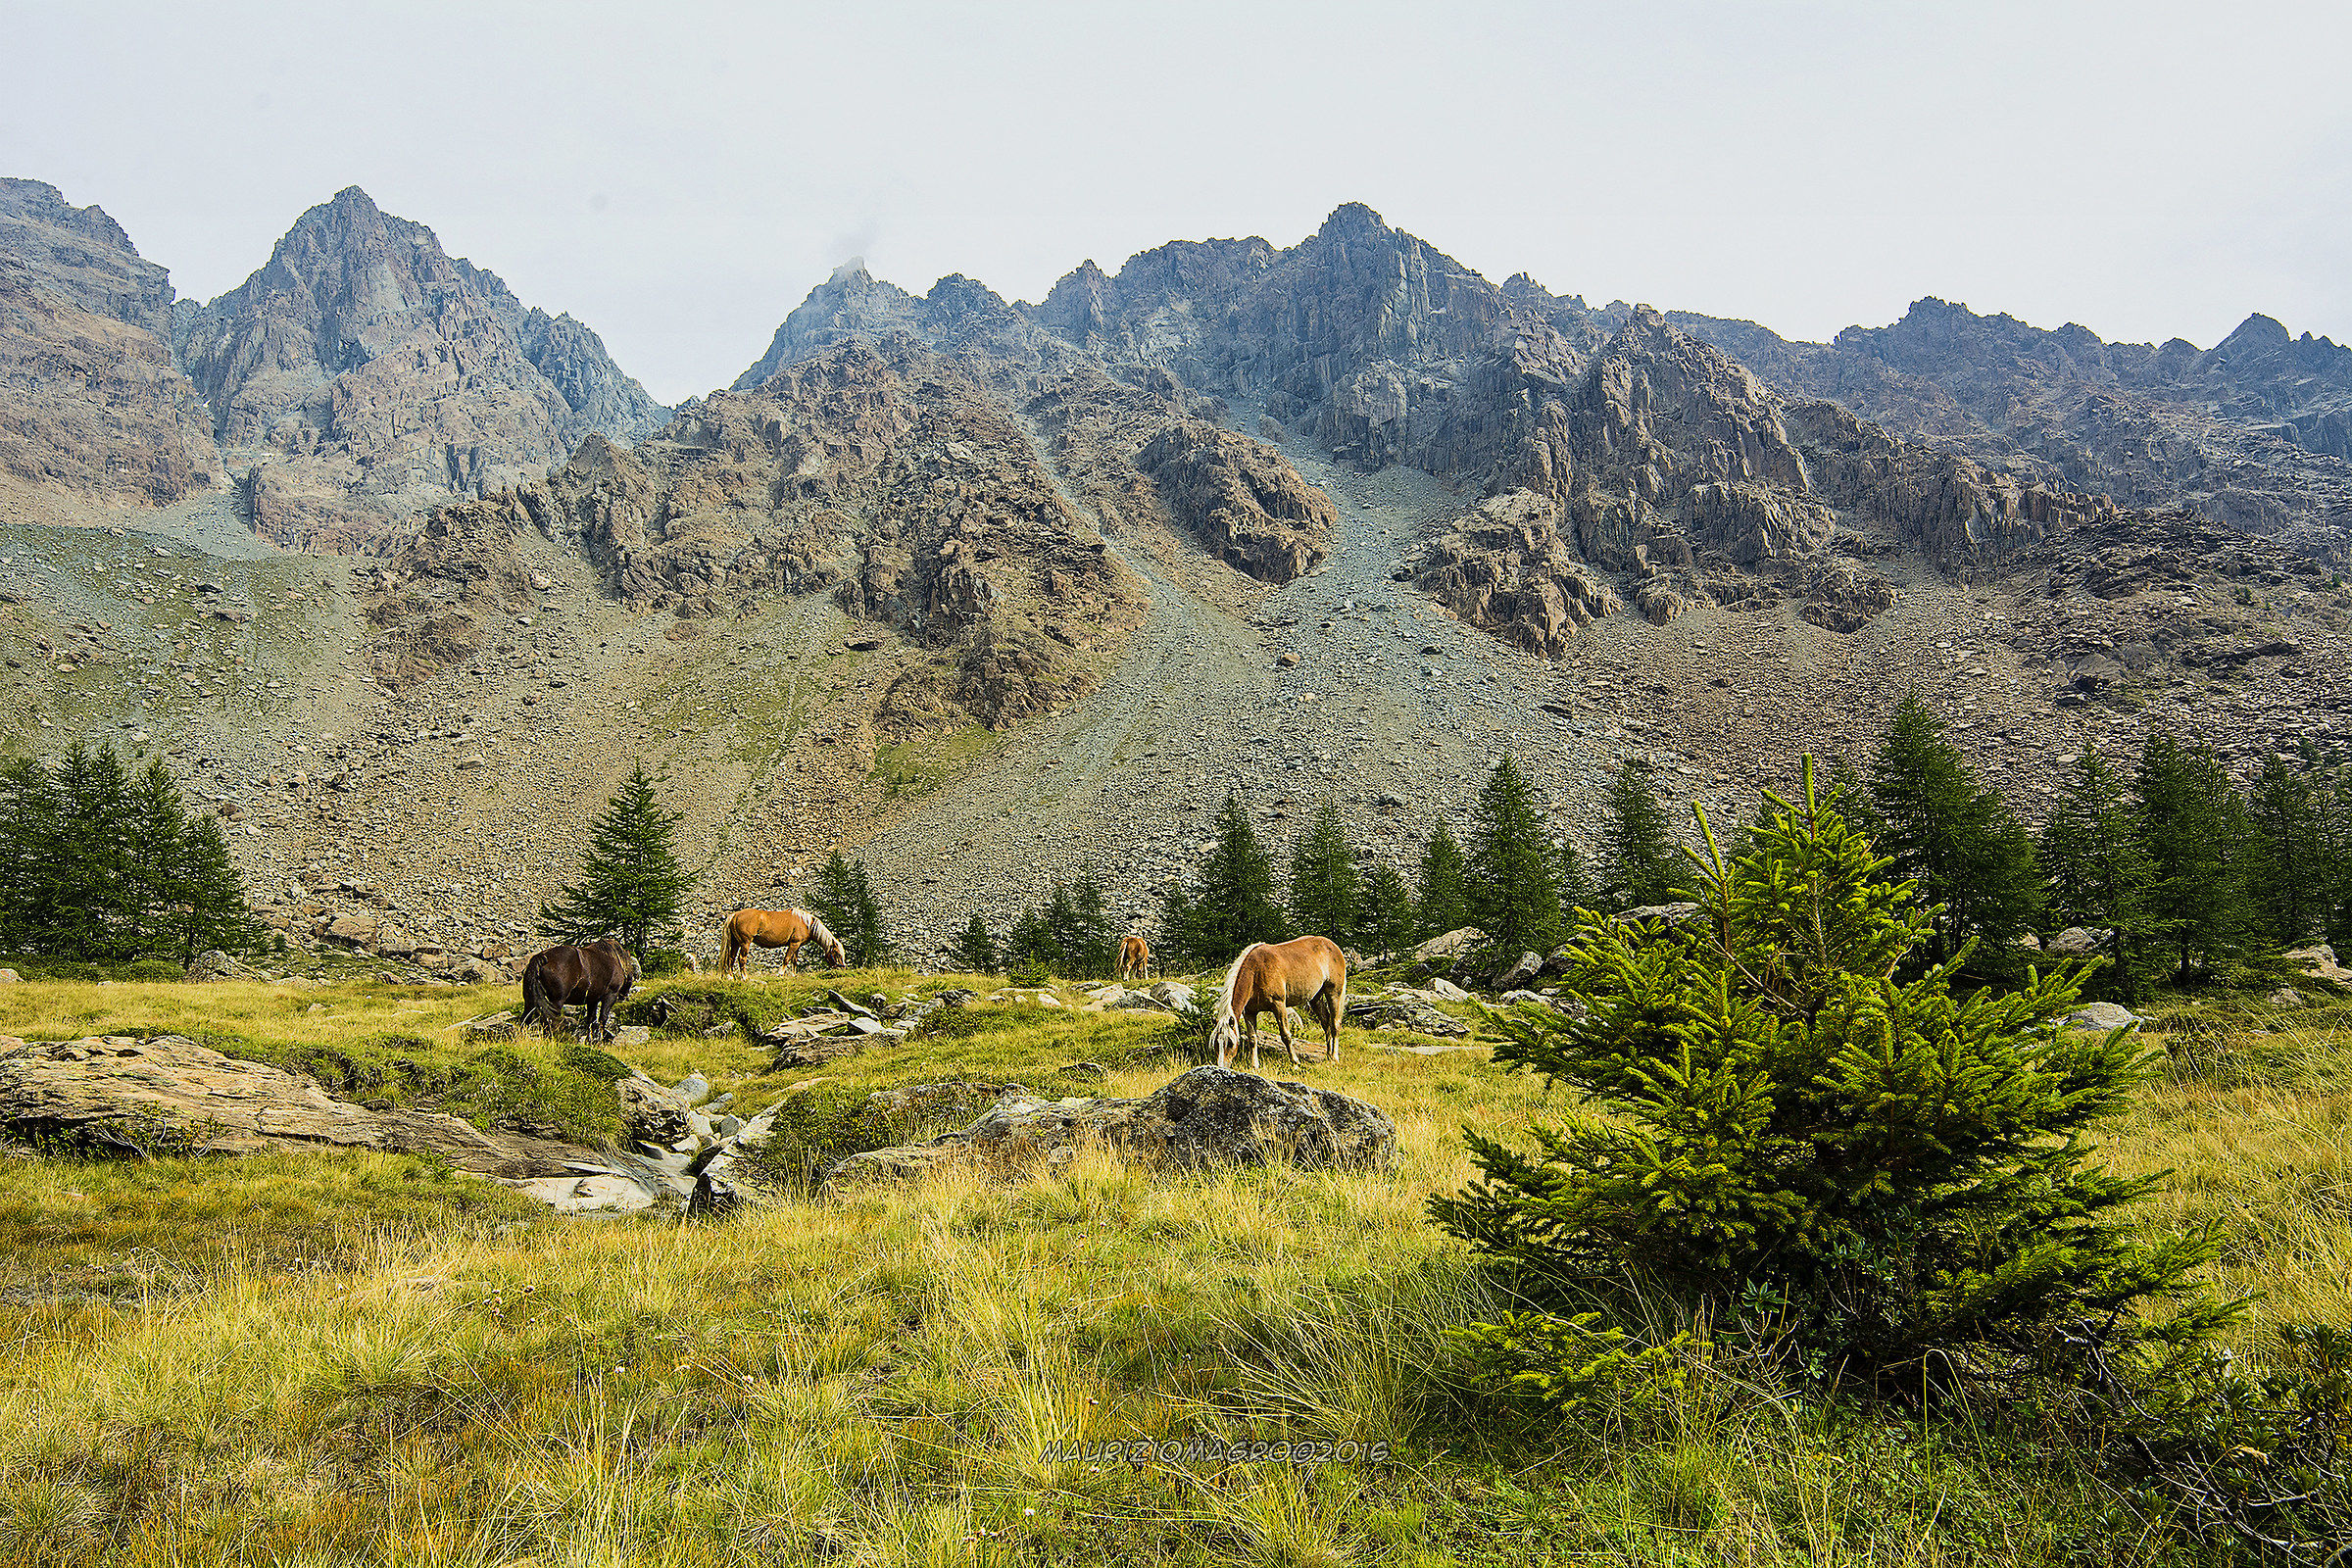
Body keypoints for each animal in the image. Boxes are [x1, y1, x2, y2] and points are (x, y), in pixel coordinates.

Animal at [720, 907, 847, 976]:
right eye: (836, 953)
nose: (842, 968)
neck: (806, 924)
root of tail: (735, 915)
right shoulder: (794, 944)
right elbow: (787, 959)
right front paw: (780, 973)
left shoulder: (797, 945)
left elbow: (794, 960)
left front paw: (793, 975)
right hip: (745, 943)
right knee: (741, 959)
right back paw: (745, 978)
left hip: (736, 943)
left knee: (731, 958)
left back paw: (731, 977)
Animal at [1209, 936, 1347, 1071]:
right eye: (1215, 1042)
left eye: (1230, 1043)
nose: (1222, 1068)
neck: (1256, 972)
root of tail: (1333, 946)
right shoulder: (1249, 1012)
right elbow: (1252, 1039)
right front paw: (1255, 1066)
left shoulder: (1279, 1006)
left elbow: (1286, 1036)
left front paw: (1295, 1063)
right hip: (1315, 998)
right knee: (1326, 1023)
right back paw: (1328, 1055)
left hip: (1334, 993)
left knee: (1335, 1024)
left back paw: (1334, 1058)